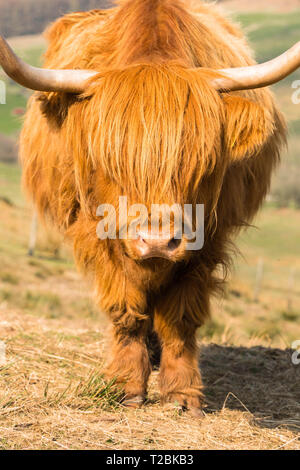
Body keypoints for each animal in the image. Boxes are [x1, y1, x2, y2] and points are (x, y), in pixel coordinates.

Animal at [0, 0, 300, 414]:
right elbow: (126, 309)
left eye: (204, 163)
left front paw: (183, 394)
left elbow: (180, 316)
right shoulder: (98, 232)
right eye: (110, 162)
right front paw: (126, 386)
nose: (157, 241)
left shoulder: (208, 238)